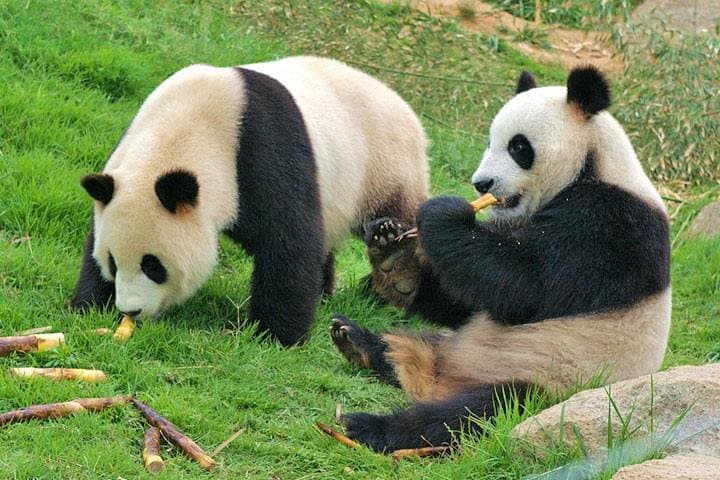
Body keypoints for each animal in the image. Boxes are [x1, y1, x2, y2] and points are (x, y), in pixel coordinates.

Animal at [69, 56, 429, 346]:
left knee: (402, 214)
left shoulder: (262, 151)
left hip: (384, 165)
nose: (130, 309)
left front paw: (275, 336)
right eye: (113, 263)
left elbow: (288, 241)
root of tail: (401, 101)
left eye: (152, 265)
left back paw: (395, 264)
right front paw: (88, 304)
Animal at [329, 66, 671, 451]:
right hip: (455, 345)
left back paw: (373, 427)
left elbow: (524, 287)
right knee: (411, 344)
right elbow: (468, 295)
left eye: (519, 147)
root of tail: (439, 381)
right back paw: (362, 339)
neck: (592, 164)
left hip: (544, 382)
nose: (481, 184)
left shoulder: (611, 226)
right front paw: (394, 255)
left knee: (472, 414)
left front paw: (442, 214)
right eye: (489, 142)